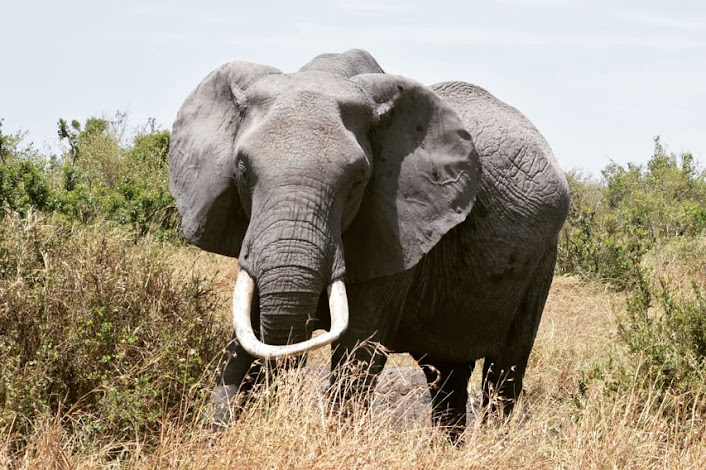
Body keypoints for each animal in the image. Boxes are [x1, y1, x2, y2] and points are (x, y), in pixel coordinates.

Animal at [169, 49, 570, 440]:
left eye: (358, 180)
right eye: (242, 169)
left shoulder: (396, 232)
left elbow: (358, 350)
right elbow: (244, 336)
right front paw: (211, 437)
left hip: (541, 263)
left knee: (504, 373)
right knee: (447, 375)